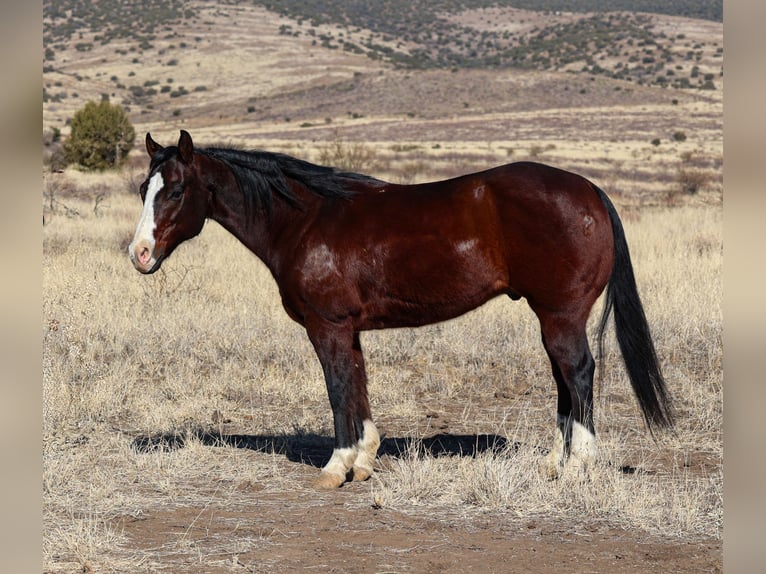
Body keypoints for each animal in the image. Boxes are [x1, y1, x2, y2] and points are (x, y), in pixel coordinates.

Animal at [129, 130, 676, 490]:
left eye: (175, 191)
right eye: (142, 190)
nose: (138, 254)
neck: (306, 220)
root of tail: (590, 190)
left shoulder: (326, 327)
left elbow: (337, 388)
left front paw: (336, 468)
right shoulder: (349, 329)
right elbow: (358, 384)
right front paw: (365, 460)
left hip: (560, 316)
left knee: (578, 373)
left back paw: (577, 465)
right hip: (554, 319)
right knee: (566, 380)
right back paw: (554, 463)